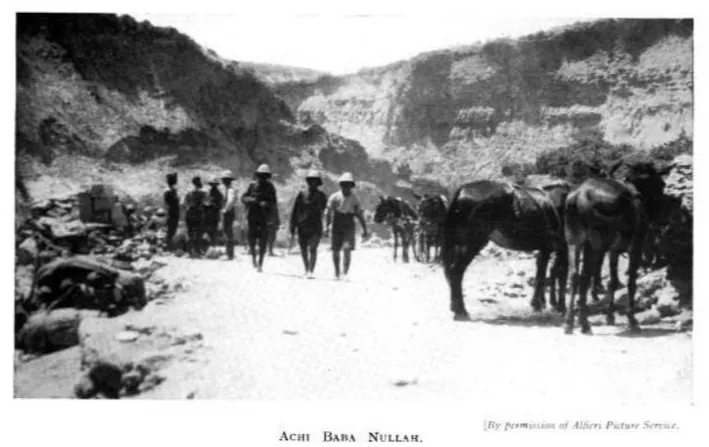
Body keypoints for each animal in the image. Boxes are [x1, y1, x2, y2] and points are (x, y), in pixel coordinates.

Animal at [440, 180, 568, 320]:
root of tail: (462, 191)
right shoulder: (557, 248)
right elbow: (557, 274)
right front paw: (557, 307)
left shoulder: (548, 249)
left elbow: (546, 273)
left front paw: (543, 304)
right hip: (471, 243)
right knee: (456, 271)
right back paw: (461, 311)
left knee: (451, 273)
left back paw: (455, 307)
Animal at [564, 161, 668, 332]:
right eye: (661, 183)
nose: (661, 213)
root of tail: (579, 195)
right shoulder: (636, 245)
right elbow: (631, 280)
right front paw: (632, 319)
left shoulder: (614, 249)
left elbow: (612, 281)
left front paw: (610, 316)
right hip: (595, 243)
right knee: (584, 276)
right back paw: (584, 323)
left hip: (575, 241)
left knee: (574, 275)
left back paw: (569, 322)